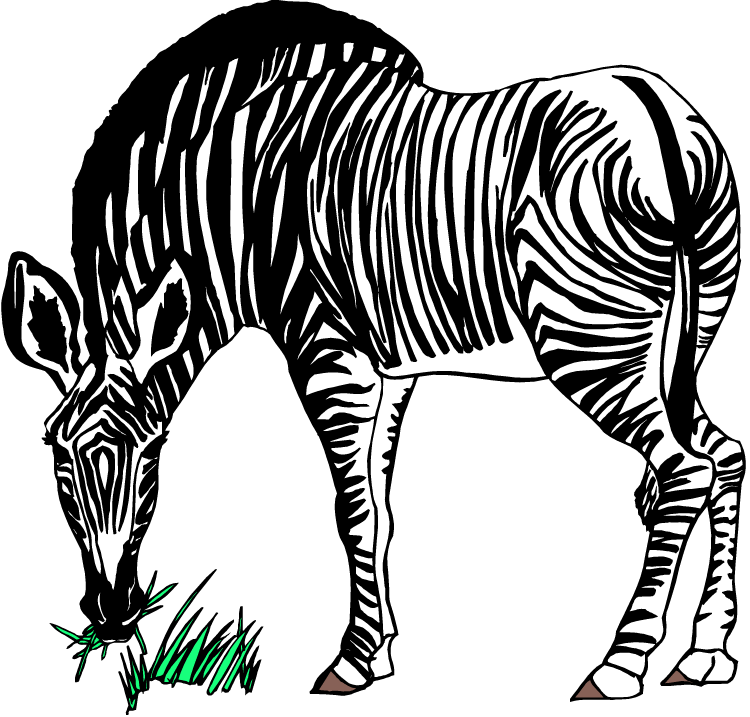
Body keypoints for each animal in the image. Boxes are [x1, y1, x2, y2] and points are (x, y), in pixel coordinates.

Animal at [15, 44, 740, 696]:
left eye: (149, 454)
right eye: (59, 462)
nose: (113, 616)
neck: (248, 201)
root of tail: (657, 114)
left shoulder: (335, 359)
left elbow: (358, 508)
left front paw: (353, 661)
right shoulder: (388, 373)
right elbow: (382, 507)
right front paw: (381, 651)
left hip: (588, 333)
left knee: (684, 468)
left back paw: (621, 665)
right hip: (677, 345)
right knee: (725, 456)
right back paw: (707, 653)